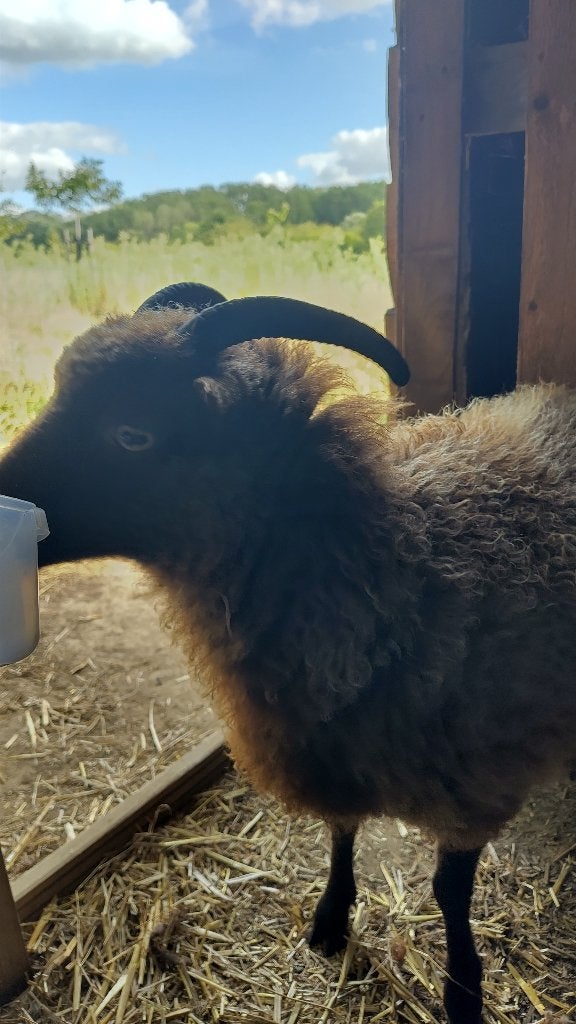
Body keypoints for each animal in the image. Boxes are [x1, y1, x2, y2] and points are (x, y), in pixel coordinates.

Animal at [1, 281, 575, 1024]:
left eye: (133, 433)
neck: (393, 571)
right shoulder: (326, 751)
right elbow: (339, 831)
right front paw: (330, 918)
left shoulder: (475, 785)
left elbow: (450, 894)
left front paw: (463, 988)